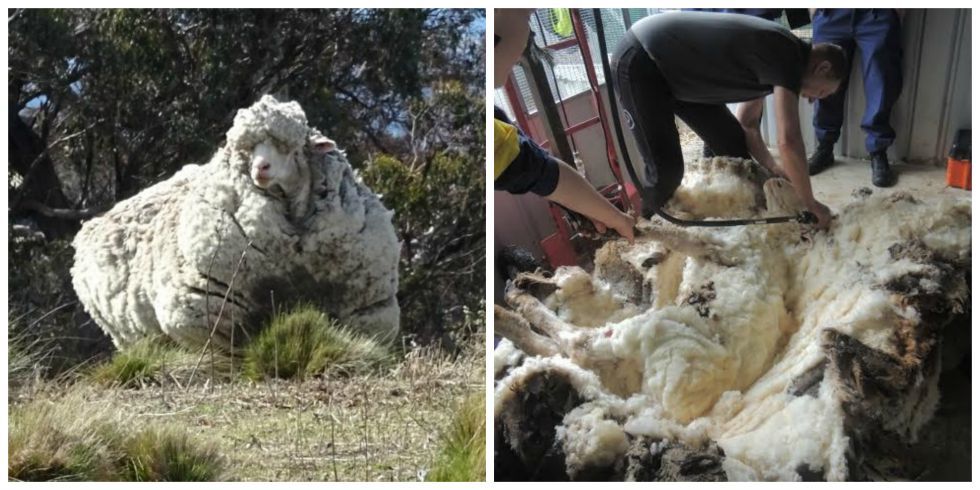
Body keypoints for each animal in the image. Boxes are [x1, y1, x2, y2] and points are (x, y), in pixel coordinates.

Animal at [71, 94, 402, 350]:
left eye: (290, 147)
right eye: (247, 149)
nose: (261, 168)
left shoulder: (365, 309)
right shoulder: (209, 312)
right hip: (130, 335)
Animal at [498, 158, 972, 482]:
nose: (774, 173)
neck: (772, 235)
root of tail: (660, 403)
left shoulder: (718, 247)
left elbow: (672, 234)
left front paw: (634, 223)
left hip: (638, 335)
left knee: (573, 344)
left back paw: (514, 308)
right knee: (567, 353)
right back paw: (517, 298)